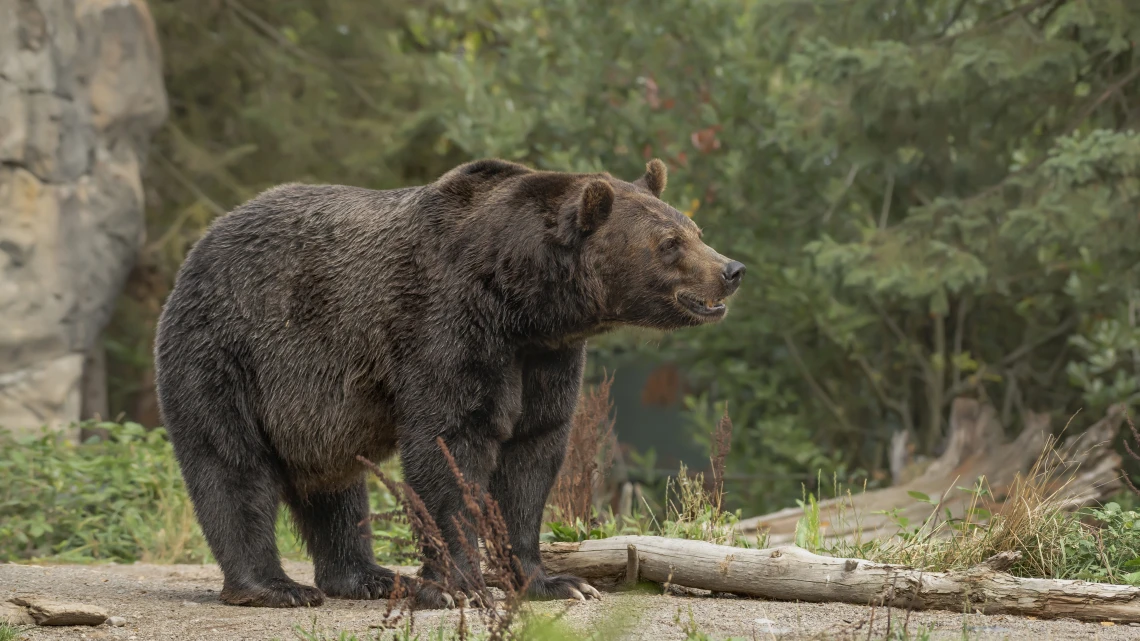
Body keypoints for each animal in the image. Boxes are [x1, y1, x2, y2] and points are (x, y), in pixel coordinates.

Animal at [153, 157, 745, 609]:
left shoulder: (545, 358)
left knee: (336, 487)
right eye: (670, 242)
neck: (521, 300)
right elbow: (449, 447)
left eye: (695, 231)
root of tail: (201, 243)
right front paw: (458, 586)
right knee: (231, 464)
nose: (731, 269)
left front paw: (556, 582)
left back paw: (368, 576)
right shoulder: (447, 326)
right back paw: (274, 587)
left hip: (314, 410)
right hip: (229, 351)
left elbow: (532, 456)